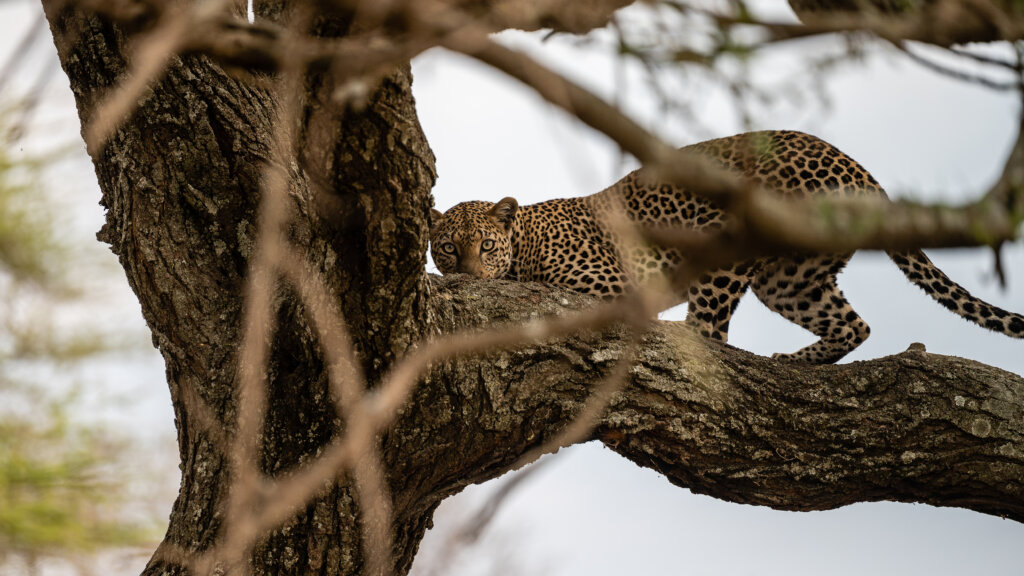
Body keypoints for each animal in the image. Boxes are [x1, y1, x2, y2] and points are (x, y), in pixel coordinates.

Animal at [425, 130, 1024, 362]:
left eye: (484, 245)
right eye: (448, 249)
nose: (467, 276)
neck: (527, 240)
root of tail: (861, 172)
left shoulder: (610, 285)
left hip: (731, 247)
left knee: (708, 335)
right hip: (789, 280)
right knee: (855, 325)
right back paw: (796, 363)